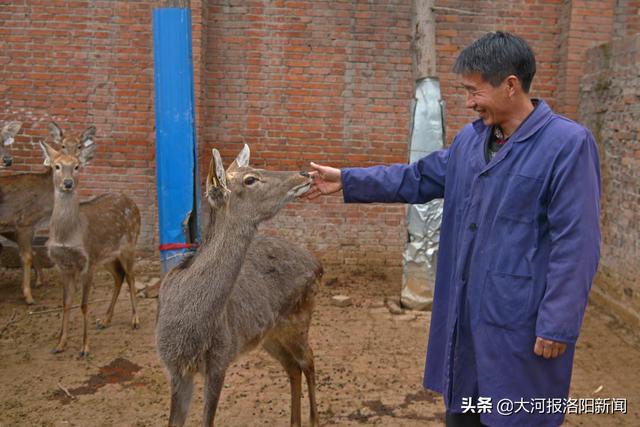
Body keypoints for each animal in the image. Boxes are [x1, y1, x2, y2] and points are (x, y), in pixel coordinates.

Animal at [40, 138, 141, 358]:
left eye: (77, 166)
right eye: (56, 166)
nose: (68, 183)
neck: (68, 235)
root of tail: (132, 202)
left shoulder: (87, 261)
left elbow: (84, 305)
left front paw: (85, 347)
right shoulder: (64, 266)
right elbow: (66, 302)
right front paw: (60, 343)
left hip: (129, 245)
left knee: (130, 277)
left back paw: (135, 319)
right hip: (106, 256)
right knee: (119, 276)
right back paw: (105, 320)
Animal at [156, 145, 320, 427]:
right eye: (250, 179)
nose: (305, 173)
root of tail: (318, 265)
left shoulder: (219, 360)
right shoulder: (176, 368)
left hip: (299, 320)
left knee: (308, 360)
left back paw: (314, 420)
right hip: (269, 334)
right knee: (292, 367)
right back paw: (294, 422)